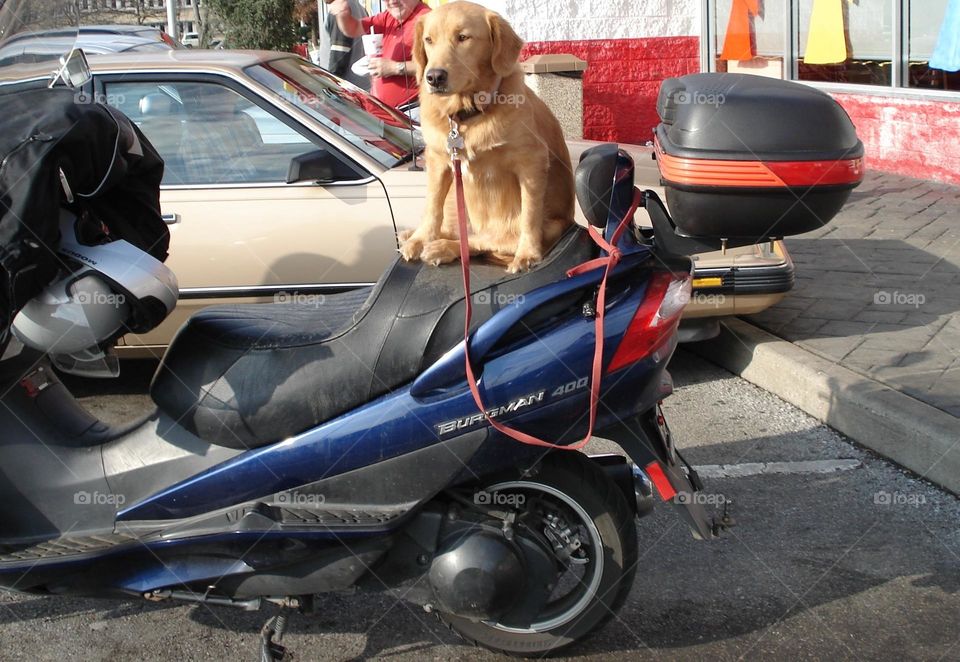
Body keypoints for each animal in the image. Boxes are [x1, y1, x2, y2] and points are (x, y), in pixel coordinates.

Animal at [396, 1, 568, 274]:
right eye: (429, 40)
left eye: (463, 37)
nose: (434, 77)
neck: (466, 115)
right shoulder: (439, 161)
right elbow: (432, 206)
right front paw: (420, 238)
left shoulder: (532, 162)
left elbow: (529, 216)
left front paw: (527, 253)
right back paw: (419, 238)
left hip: (550, 225)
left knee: (484, 241)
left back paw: (441, 248)